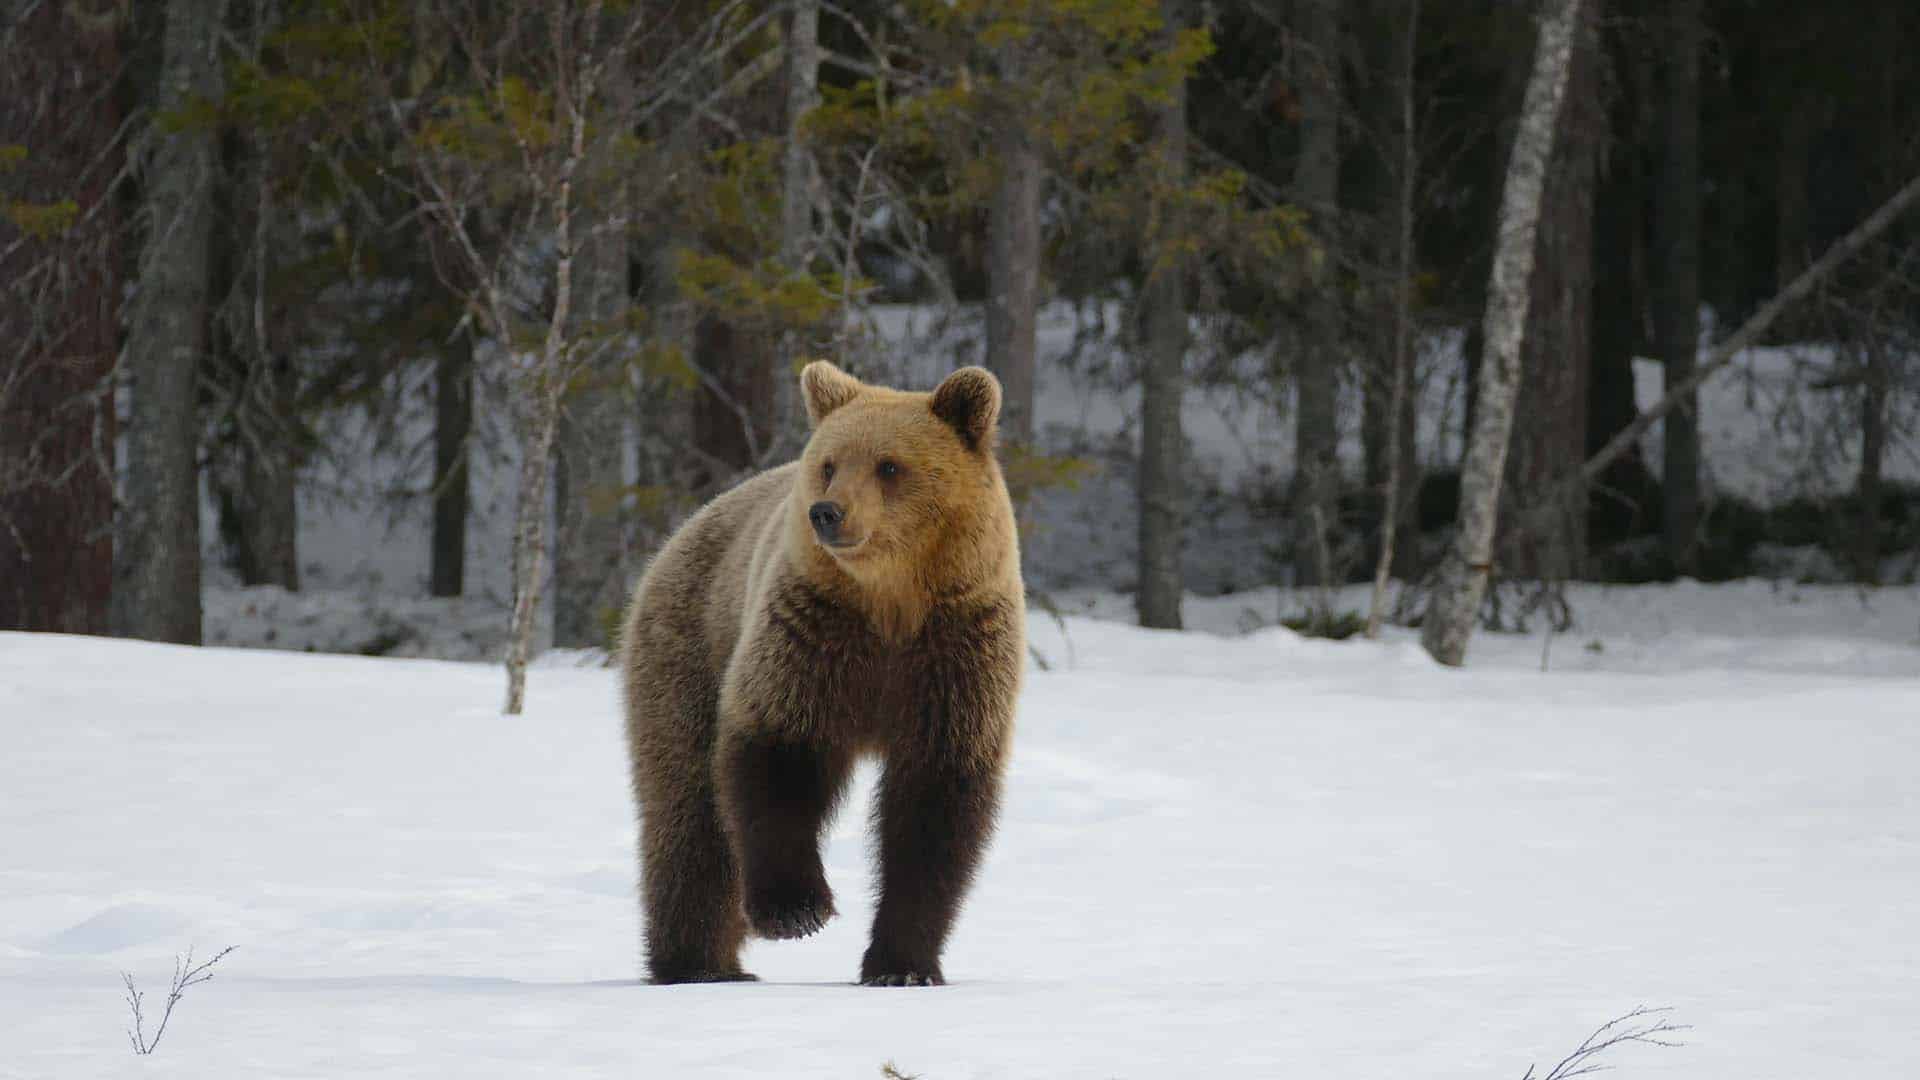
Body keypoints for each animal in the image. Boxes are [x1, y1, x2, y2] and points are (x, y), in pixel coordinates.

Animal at [618, 360, 1024, 987]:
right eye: (830, 464)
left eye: (889, 465)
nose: (827, 513)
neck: (892, 603)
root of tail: (685, 528)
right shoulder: (811, 637)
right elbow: (778, 753)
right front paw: (796, 910)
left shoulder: (954, 656)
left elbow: (933, 810)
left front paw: (902, 965)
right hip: (688, 647)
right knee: (688, 809)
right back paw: (697, 963)